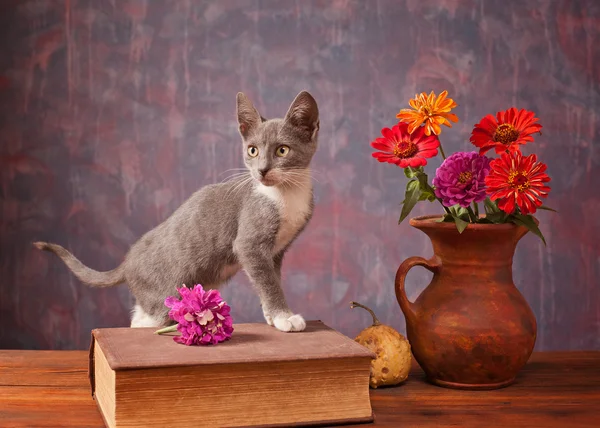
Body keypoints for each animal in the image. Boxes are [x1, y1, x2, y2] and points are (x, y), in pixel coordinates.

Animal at [35, 89, 322, 332]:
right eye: (252, 150)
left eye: (282, 150)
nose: (261, 170)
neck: (287, 194)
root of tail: (127, 263)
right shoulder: (250, 242)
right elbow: (268, 282)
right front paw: (284, 317)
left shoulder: (276, 252)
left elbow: (271, 279)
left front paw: (273, 316)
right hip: (165, 293)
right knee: (145, 321)